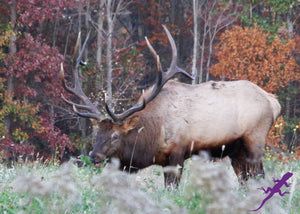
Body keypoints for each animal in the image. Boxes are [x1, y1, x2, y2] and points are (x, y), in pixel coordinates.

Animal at [61, 24, 282, 186]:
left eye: (115, 136)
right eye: (97, 133)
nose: (94, 155)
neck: (153, 134)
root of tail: (274, 102)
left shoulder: (178, 153)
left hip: (255, 140)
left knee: (260, 176)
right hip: (236, 150)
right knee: (246, 180)